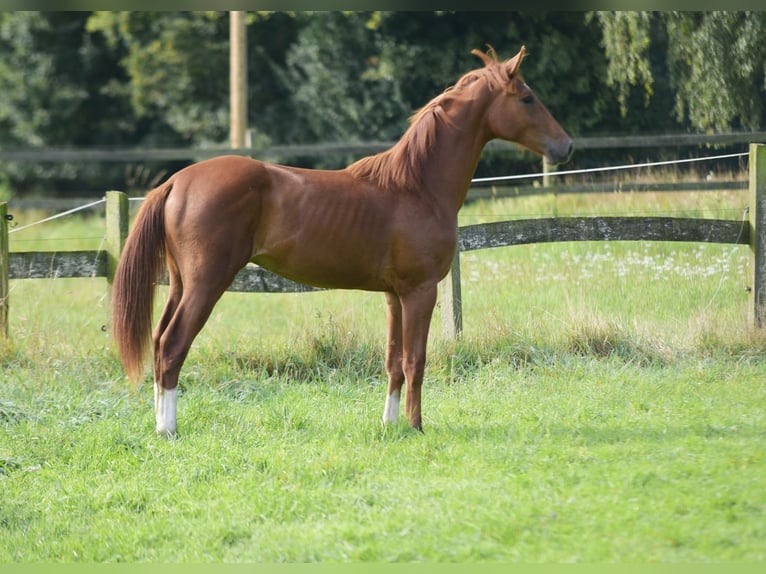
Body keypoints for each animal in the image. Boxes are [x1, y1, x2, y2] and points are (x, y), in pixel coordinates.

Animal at [111, 46, 572, 436]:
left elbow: (393, 362)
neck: (416, 187)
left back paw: (159, 423)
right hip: (206, 284)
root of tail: (176, 181)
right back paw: (168, 430)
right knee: (173, 345)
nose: (565, 146)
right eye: (527, 98)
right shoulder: (420, 292)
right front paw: (416, 427)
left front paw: (390, 426)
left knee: (158, 343)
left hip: (181, 283)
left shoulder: (394, 296)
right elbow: (416, 360)